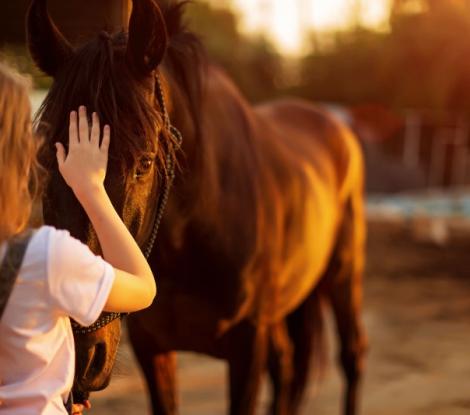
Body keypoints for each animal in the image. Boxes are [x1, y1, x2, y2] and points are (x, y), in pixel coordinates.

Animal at [27, 0, 370, 415]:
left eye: (145, 163)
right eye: (46, 159)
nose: (79, 354)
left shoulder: (247, 346)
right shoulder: (153, 347)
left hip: (344, 275)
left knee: (351, 356)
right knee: (288, 367)